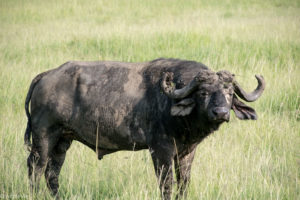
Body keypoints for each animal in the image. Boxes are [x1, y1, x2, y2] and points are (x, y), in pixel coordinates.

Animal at [24, 58, 264, 200]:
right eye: (203, 92)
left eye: (229, 93)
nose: (221, 113)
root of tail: (46, 75)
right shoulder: (160, 150)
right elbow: (166, 184)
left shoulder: (187, 152)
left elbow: (184, 183)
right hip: (43, 137)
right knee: (36, 168)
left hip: (63, 140)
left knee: (52, 172)